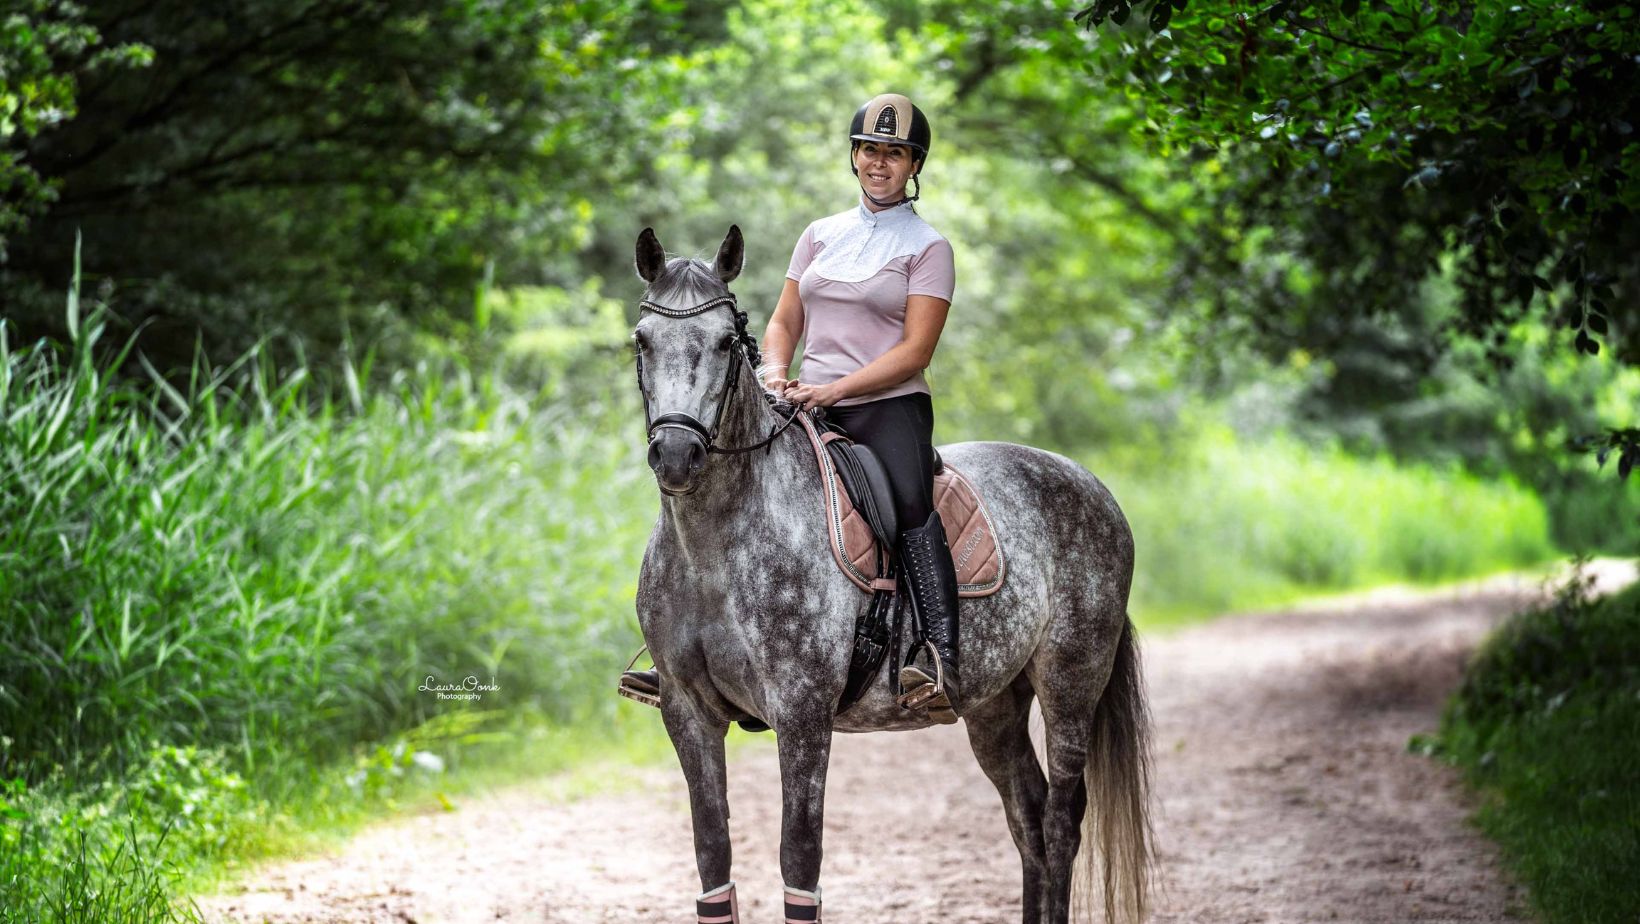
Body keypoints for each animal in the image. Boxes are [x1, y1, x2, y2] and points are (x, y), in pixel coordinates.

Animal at [629, 226, 1154, 924]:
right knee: (1029, 819)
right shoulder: (686, 713)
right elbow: (713, 859)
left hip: (1071, 683)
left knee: (1062, 822)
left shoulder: (802, 712)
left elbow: (800, 861)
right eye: (642, 339)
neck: (712, 548)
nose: (676, 454)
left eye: (723, 343)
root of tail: (1093, 487)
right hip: (994, 704)